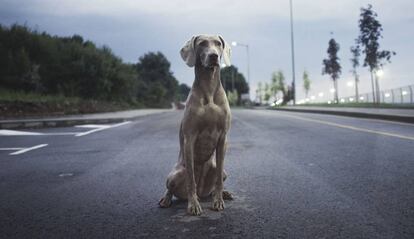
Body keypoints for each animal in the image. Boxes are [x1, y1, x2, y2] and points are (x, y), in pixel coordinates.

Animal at [159, 34, 233, 216]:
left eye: (218, 44)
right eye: (202, 43)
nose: (213, 56)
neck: (209, 89)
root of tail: (202, 192)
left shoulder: (223, 138)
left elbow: (219, 179)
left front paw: (218, 201)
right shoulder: (189, 138)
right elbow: (191, 178)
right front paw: (193, 205)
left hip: (221, 171)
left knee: (217, 178)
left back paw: (222, 194)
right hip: (174, 174)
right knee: (171, 187)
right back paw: (166, 200)